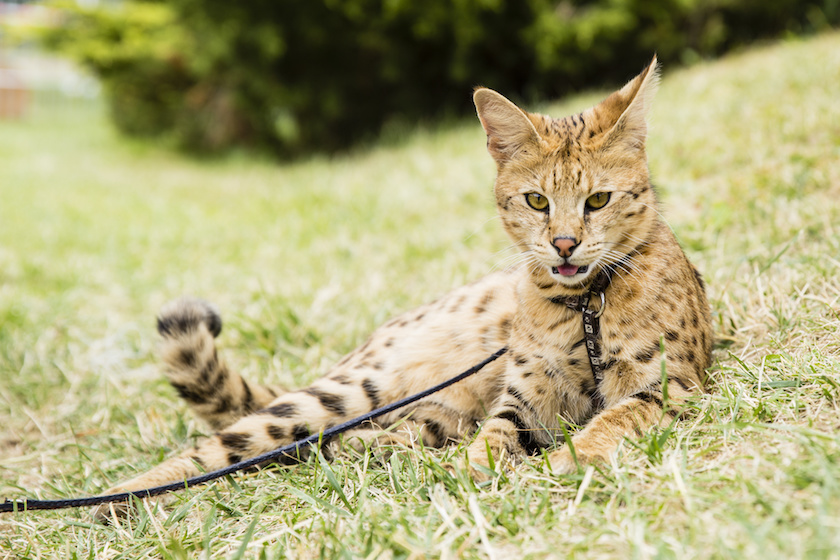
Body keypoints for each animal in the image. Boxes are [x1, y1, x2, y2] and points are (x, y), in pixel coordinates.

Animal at [95, 58, 712, 520]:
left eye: (598, 200)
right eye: (537, 200)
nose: (563, 244)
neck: (585, 303)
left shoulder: (667, 386)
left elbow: (610, 420)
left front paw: (566, 461)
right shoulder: (524, 399)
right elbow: (495, 437)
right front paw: (476, 472)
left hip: (427, 409)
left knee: (350, 440)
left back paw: (370, 450)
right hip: (351, 389)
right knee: (224, 447)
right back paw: (121, 497)